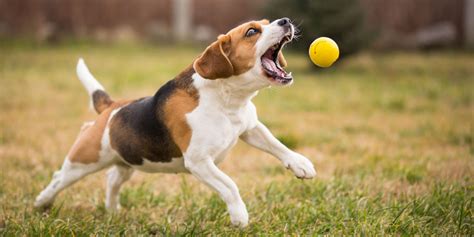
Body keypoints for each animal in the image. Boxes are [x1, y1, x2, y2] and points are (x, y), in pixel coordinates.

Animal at [35, 18, 316, 226]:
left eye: (268, 23)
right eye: (252, 32)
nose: (285, 21)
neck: (227, 99)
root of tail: (111, 107)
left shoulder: (250, 128)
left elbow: (277, 145)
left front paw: (301, 164)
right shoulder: (199, 161)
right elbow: (230, 185)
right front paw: (240, 216)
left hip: (127, 161)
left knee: (112, 178)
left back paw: (112, 210)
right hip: (84, 159)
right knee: (59, 177)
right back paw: (41, 203)